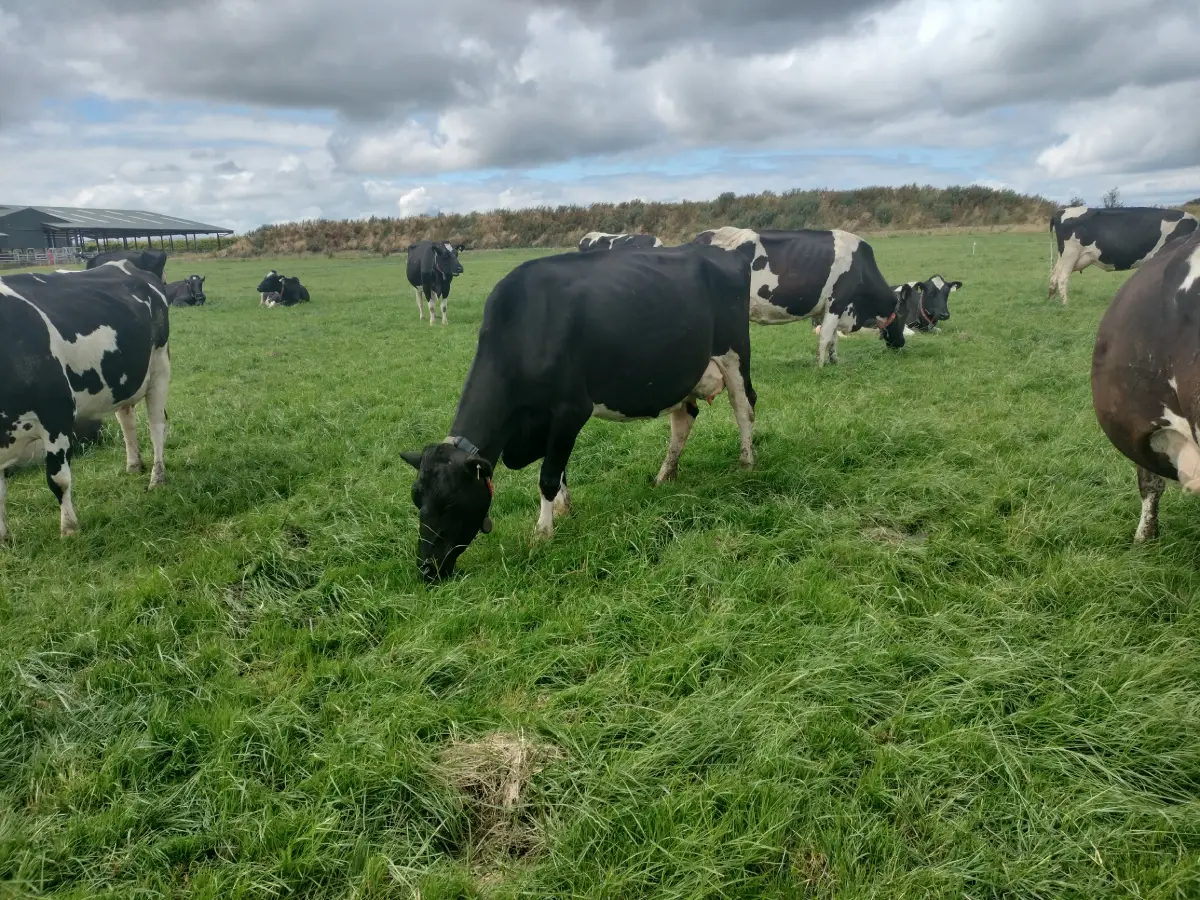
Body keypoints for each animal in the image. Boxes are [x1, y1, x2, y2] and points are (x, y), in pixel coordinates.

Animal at [0, 261, 171, 541]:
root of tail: (126, 264)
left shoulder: (56, 416)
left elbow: (58, 479)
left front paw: (69, 528)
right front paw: (3, 537)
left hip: (159, 366)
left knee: (156, 425)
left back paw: (157, 478)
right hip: (121, 380)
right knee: (127, 420)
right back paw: (133, 465)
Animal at [400, 243, 757, 582]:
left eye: (450, 501)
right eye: (417, 500)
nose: (426, 570)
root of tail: (724, 252)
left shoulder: (569, 411)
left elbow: (547, 475)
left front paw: (543, 533)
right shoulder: (547, 423)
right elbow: (559, 470)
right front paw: (563, 508)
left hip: (734, 353)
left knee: (744, 407)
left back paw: (746, 463)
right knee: (683, 421)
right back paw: (664, 476)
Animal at [692, 226, 906, 365]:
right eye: (902, 320)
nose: (902, 343)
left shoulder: (828, 309)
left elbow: (832, 338)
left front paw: (834, 361)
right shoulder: (837, 302)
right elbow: (825, 337)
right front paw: (820, 367)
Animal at [1049, 206, 1198, 304]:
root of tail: (1061, 211)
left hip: (1064, 257)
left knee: (1054, 275)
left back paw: (1051, 298)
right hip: (1070, 254)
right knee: (1062, 278)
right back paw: (1066, 303)